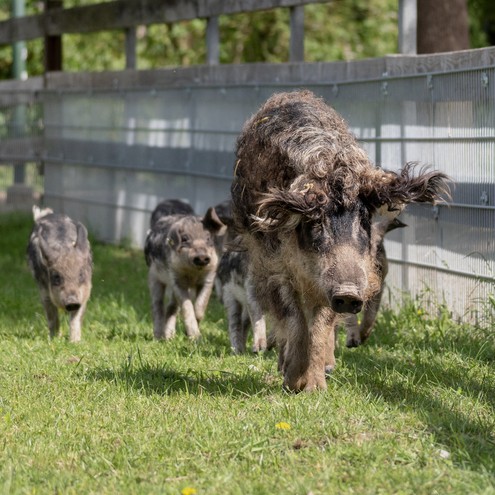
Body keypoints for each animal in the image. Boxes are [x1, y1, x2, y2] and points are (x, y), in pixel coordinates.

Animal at [27, 207, 93, 342]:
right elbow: (52, 318)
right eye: (56, 277)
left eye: (81, 275)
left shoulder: (84, 294)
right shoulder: (44, 292)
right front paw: (54, 340)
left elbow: (75, 319)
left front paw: (75, 342)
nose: (72, 301)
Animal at [144, 200, 226, 340]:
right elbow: (187, 307)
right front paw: (196, 338)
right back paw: (158, 337)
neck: (194, 274)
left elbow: (200, 307)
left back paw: (169, 338)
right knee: (157, 306)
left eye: (208, 238)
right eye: (185, 239)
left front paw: (191, 335)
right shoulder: (176, 279)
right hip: (153, 277)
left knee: (171, 307)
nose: (202, 257)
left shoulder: (209, 279)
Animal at [231, 89, 452, 392]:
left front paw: (315, 388)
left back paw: (328, 367)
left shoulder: (332, 286)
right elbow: (294, 318)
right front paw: (293, 382)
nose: (348, 292)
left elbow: (321, 324)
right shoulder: (273, 267)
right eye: (315, 222)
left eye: (364, 219)